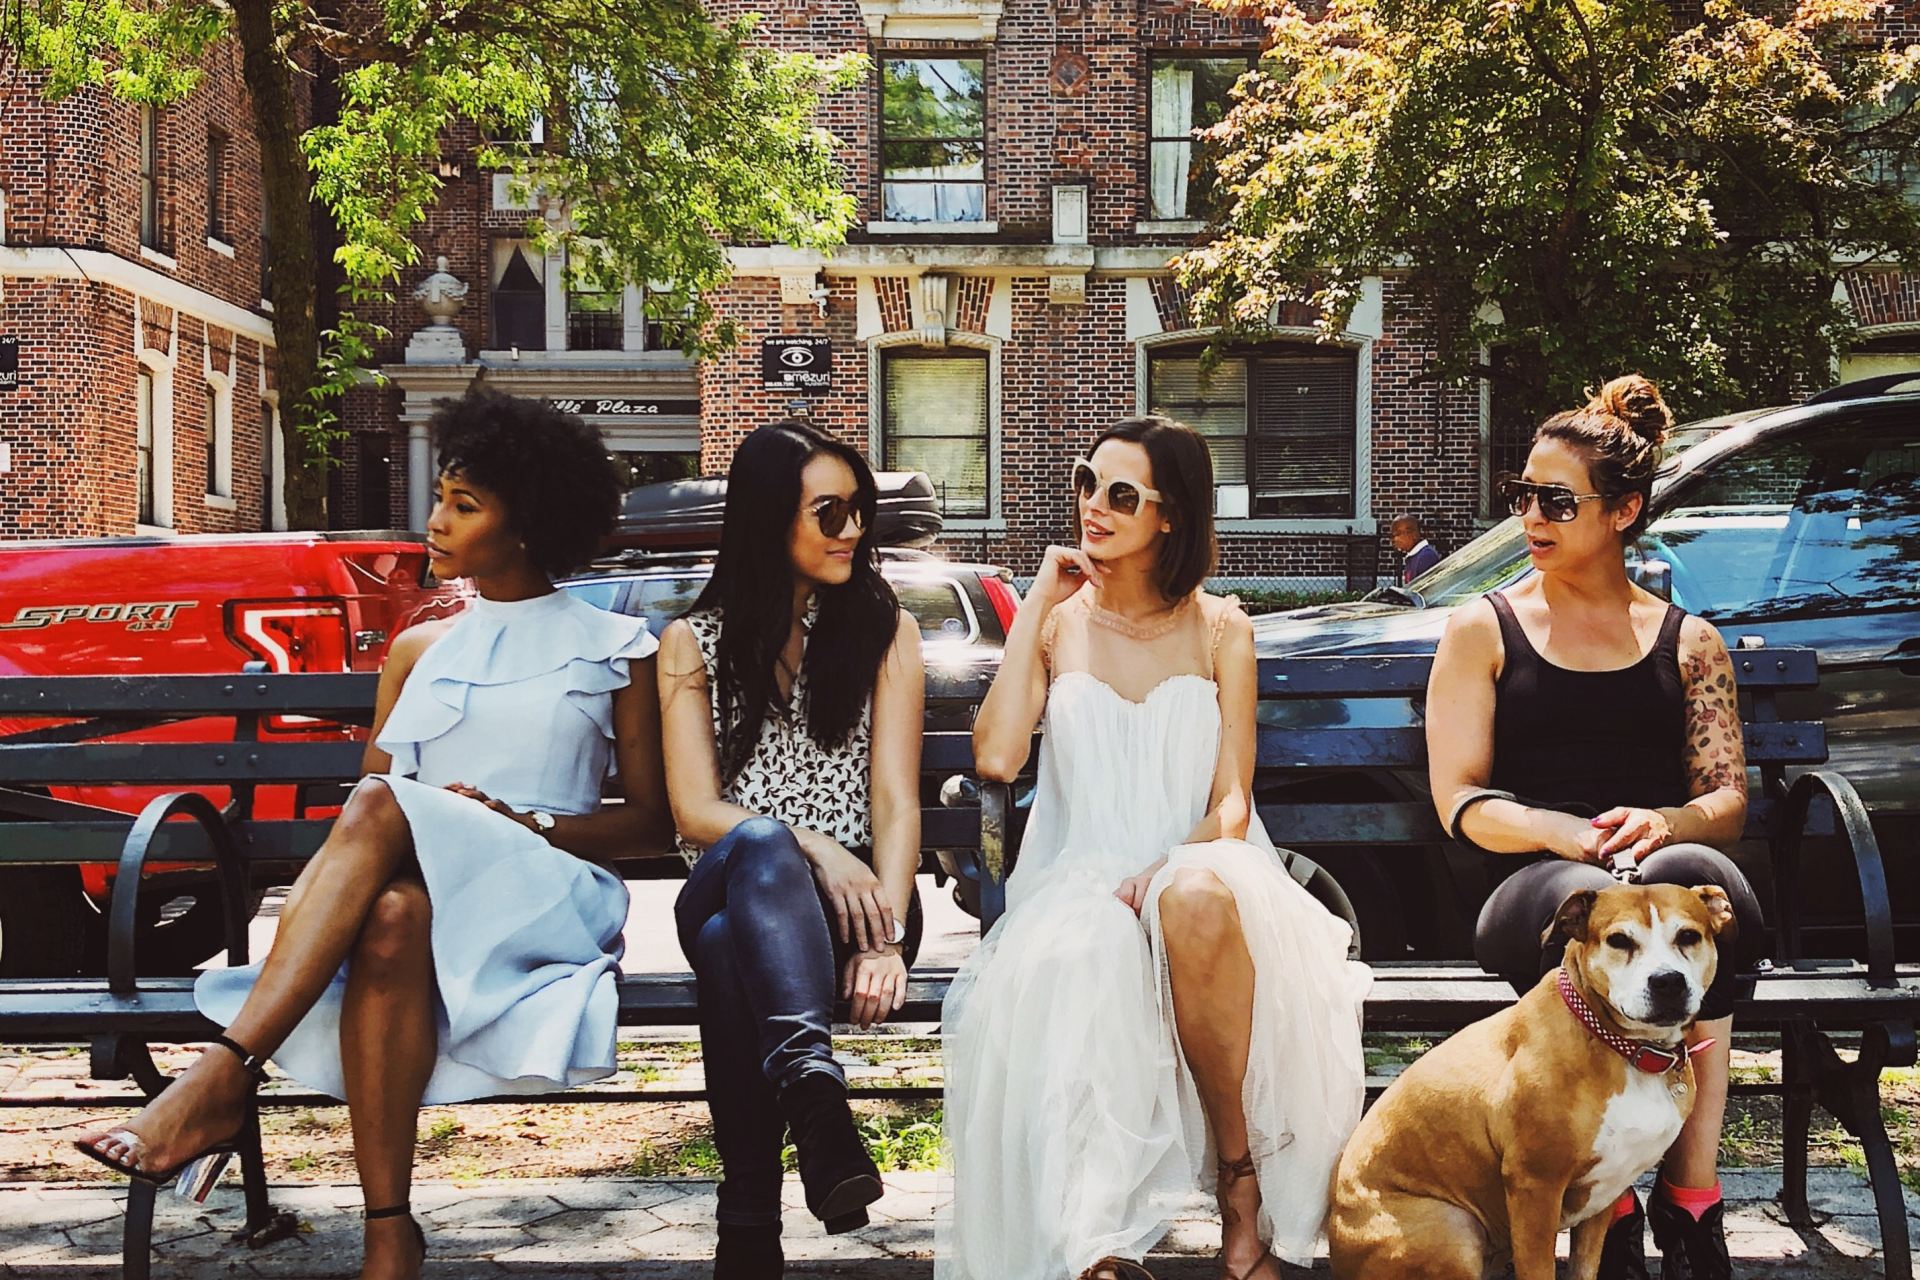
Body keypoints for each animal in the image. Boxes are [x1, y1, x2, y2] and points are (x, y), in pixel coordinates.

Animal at [1328, 882, 1735, 1280]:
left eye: (1688, 936)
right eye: (1619, 940)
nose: (1667, 981)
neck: (1623, 1047)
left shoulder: (1606, 1192)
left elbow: (1585, 1267)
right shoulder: (1535, 1186)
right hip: (1455, 1226)